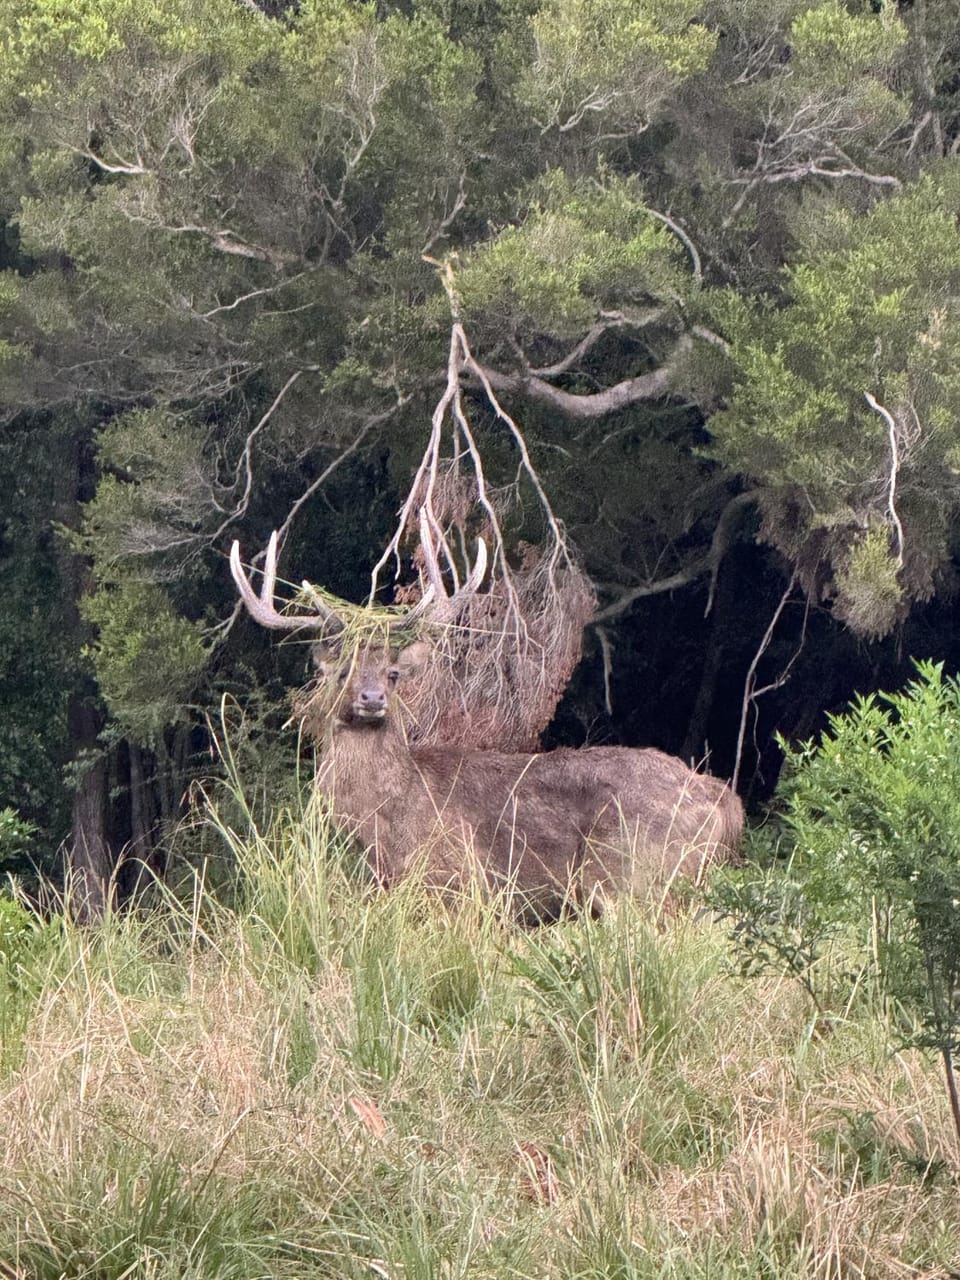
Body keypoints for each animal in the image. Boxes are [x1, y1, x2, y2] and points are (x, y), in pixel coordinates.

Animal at [229, 527, 744, 917]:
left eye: (392, 673)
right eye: (341, 672)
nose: (372, 699)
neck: (384, 825)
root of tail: (723, 803)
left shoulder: (458, 881)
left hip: (635, 878)